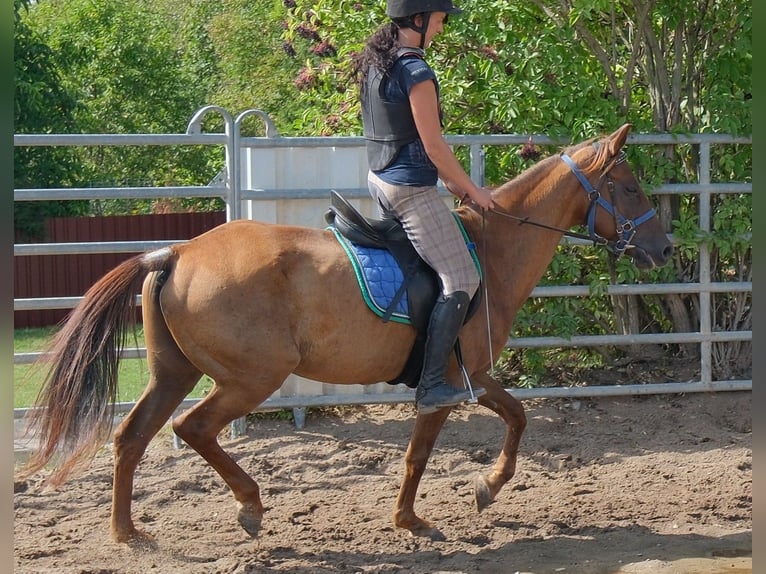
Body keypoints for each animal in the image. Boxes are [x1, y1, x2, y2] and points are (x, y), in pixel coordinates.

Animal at [18, 123, 673, 547]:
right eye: (631, 188)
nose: (665, 249)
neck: (492, 250)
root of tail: (176, 253)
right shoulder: (445, 383)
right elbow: (417, 454)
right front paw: (412, 521)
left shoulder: (476, 375)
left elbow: (517, 417)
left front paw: (487, 489)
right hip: (251, 378)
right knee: (192, 429)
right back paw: (250, 505)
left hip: (173, 373)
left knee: (131, 437)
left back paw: (127, 532)